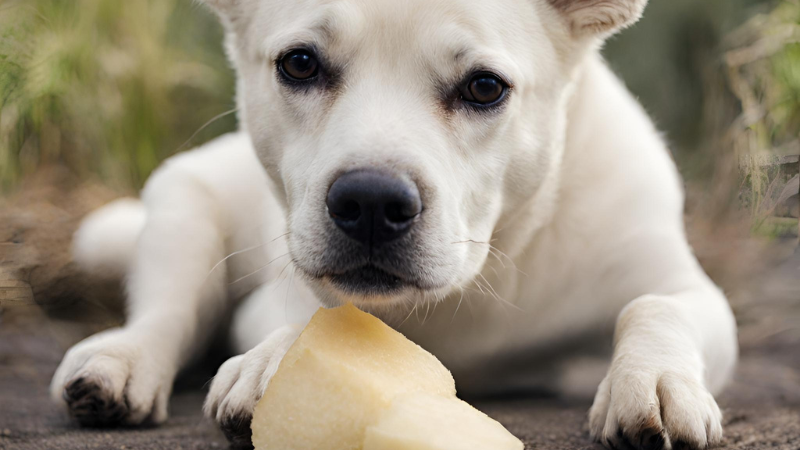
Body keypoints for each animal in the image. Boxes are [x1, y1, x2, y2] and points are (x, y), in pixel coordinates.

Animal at [51, 0, 736, 448]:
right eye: (300, 64)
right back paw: (120, 364)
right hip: (184, 201)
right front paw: (277, 360)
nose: (372, 202)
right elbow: (318, 317)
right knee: (168, 313)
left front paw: (652, 381)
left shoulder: (688, 288)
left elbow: (654, 305)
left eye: (484, 87)